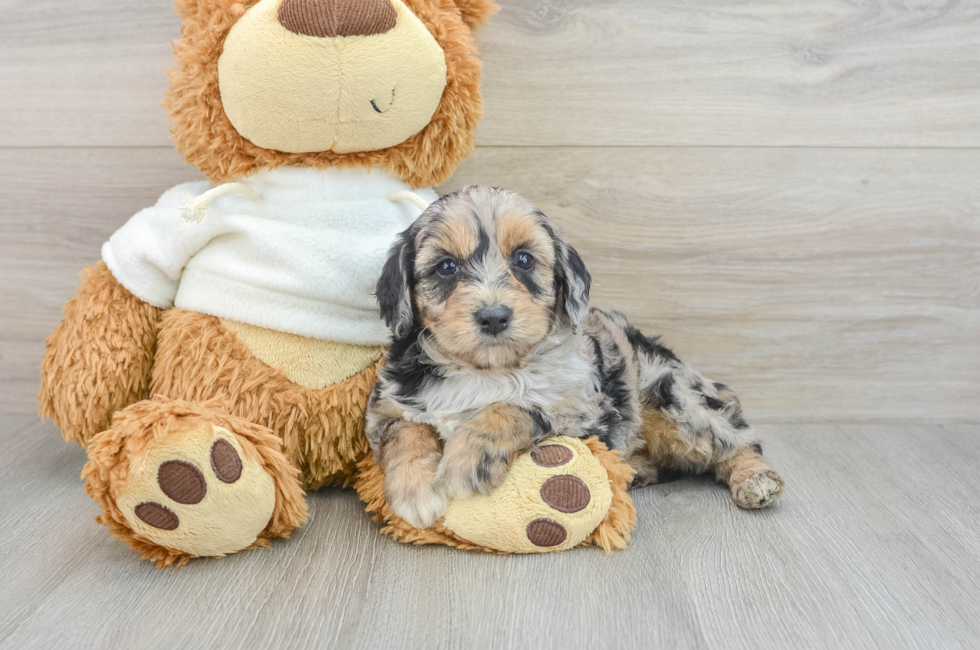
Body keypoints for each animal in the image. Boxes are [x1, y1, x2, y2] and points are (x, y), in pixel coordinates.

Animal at [364, 184, 784, 528]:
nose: (494, 316)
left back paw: (755, 479)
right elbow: (405, 432)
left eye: (524, 260)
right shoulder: (387, 403)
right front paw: (416, 492)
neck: (487, 370)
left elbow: (513, 406)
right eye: (446, 267)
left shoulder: (586, 411)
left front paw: (468, 459)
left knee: (737, 438)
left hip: (673, 398)